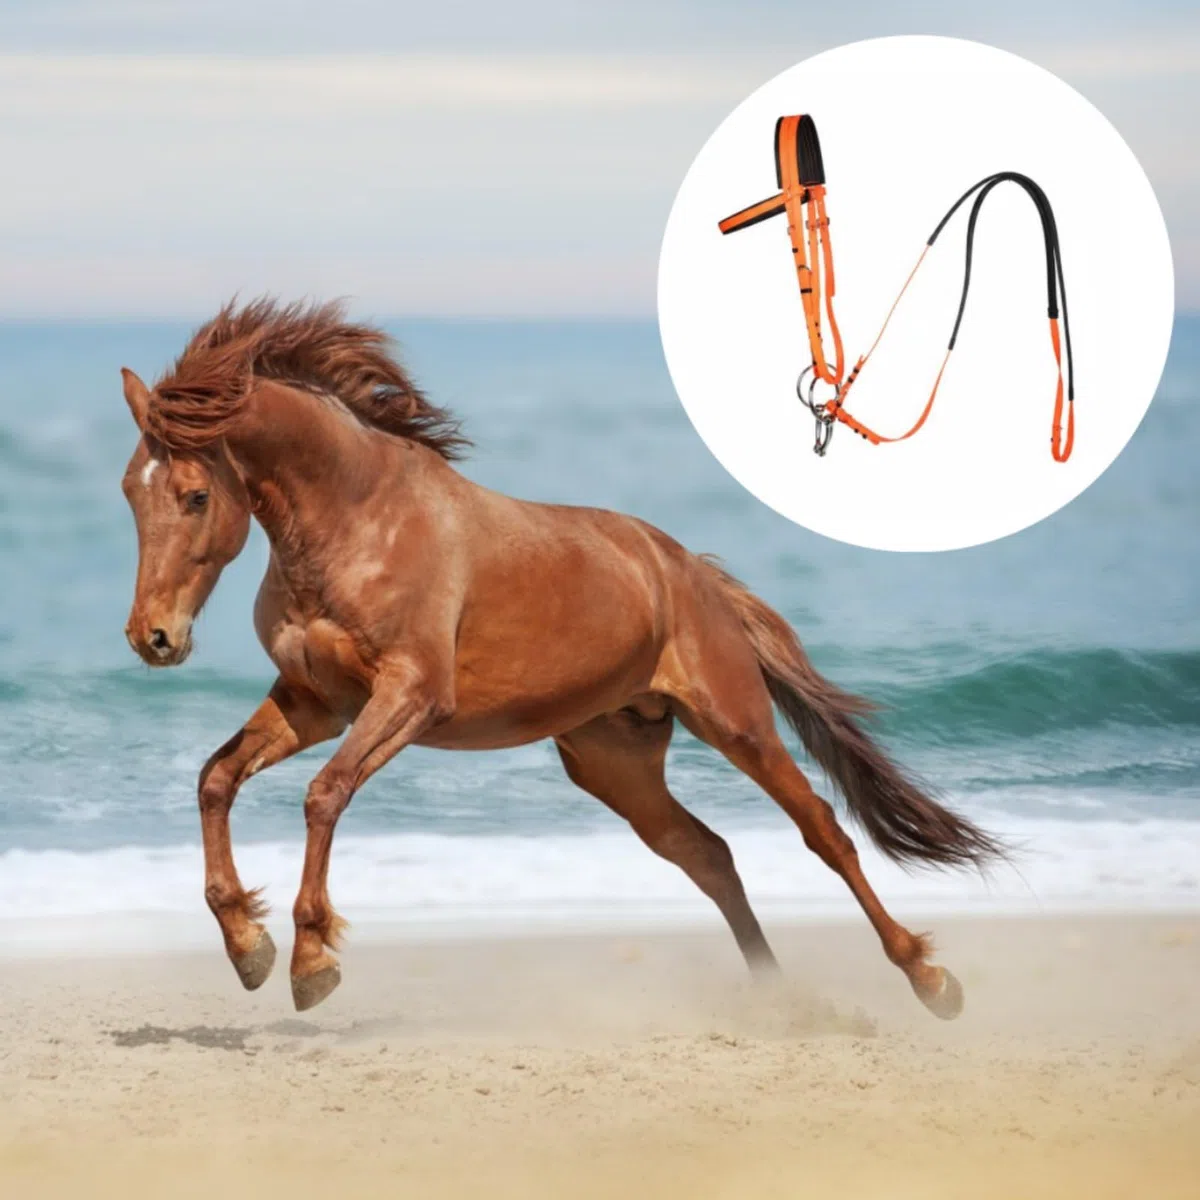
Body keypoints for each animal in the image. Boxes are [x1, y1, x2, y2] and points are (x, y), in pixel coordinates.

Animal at [119, 298, 1001, 1015]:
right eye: (131, 490)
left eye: (196, 495)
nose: (152, 637)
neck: (357, 521)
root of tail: (691, 572)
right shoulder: (316, 702)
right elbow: (216, 780)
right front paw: (249, 948)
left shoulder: (408, 696)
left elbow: (324, 795)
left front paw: (309, 962)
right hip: (615, 760)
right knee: (707, 854)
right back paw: (779, 997)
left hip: (736, 723)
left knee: (824, 831)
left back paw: (930, 978)